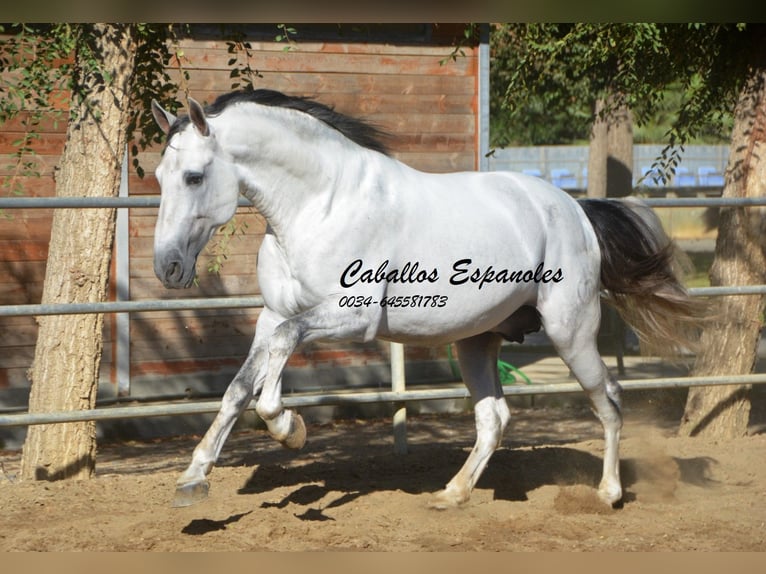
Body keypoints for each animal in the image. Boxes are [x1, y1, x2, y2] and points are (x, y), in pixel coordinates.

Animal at [150, 88, 704, 510]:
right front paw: (192, 478)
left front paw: (291, 429)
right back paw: (452, 494)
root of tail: (574, 210)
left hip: (571, 333)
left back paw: (608, 493)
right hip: (477, 341)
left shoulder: (348, 318)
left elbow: (275, 370)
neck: (320, 205)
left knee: (608, 399)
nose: (167, 267)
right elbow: (238, 389)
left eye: (193, 177)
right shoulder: (273, 315)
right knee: (494, 419)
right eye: (158, 177)